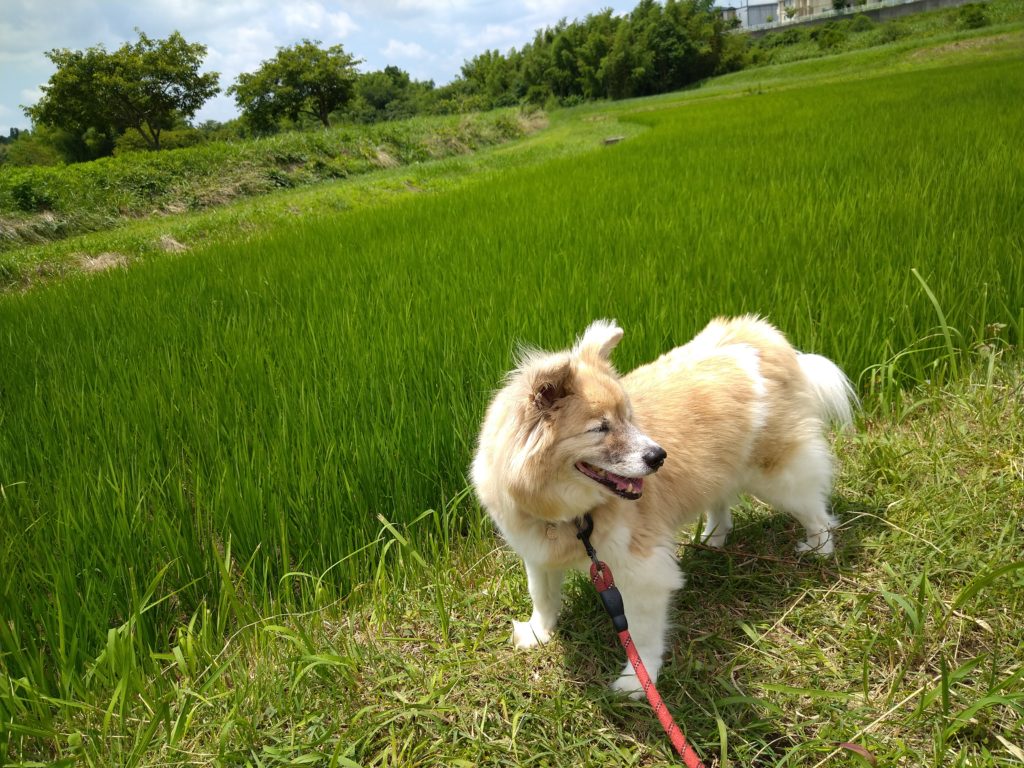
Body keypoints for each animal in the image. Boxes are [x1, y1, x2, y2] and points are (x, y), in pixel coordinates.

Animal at [471, 315, 856, 696]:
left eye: (629, 417)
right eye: (600, 428)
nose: (659, 457)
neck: (573, 514)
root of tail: (760, 334)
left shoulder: (642, 571)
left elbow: (640, 635)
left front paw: (637, 681)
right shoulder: (538, 553)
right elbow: (542, 595)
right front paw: (539, 633)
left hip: (777, 477)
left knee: (815, 510)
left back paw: (819, 549)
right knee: (722, 504)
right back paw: (714, 538)